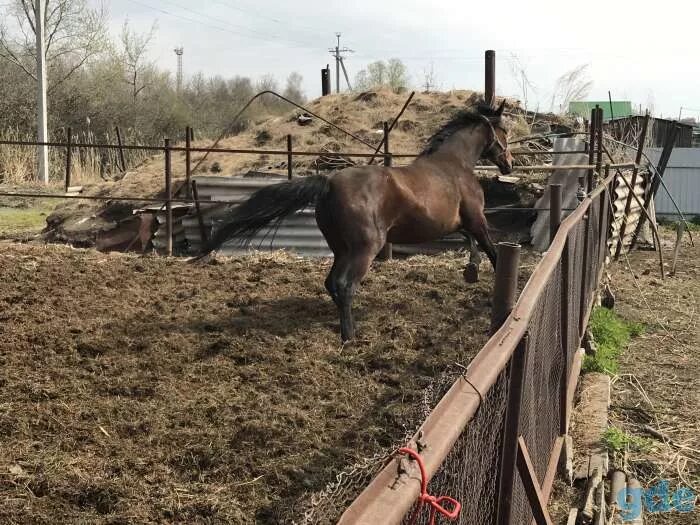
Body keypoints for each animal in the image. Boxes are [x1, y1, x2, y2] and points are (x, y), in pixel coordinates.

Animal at [194, 100, 512, 342]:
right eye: (505, 130)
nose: (508, 164)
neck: (454, 165)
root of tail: (329, 182)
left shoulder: (462, 224)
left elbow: (471, 242)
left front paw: (471, 270)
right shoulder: (476, 220)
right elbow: (492, 251)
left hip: (342, 248)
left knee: (331, 283)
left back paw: (347, 324)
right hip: (364, 249)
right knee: (344, 285)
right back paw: (350, 336)